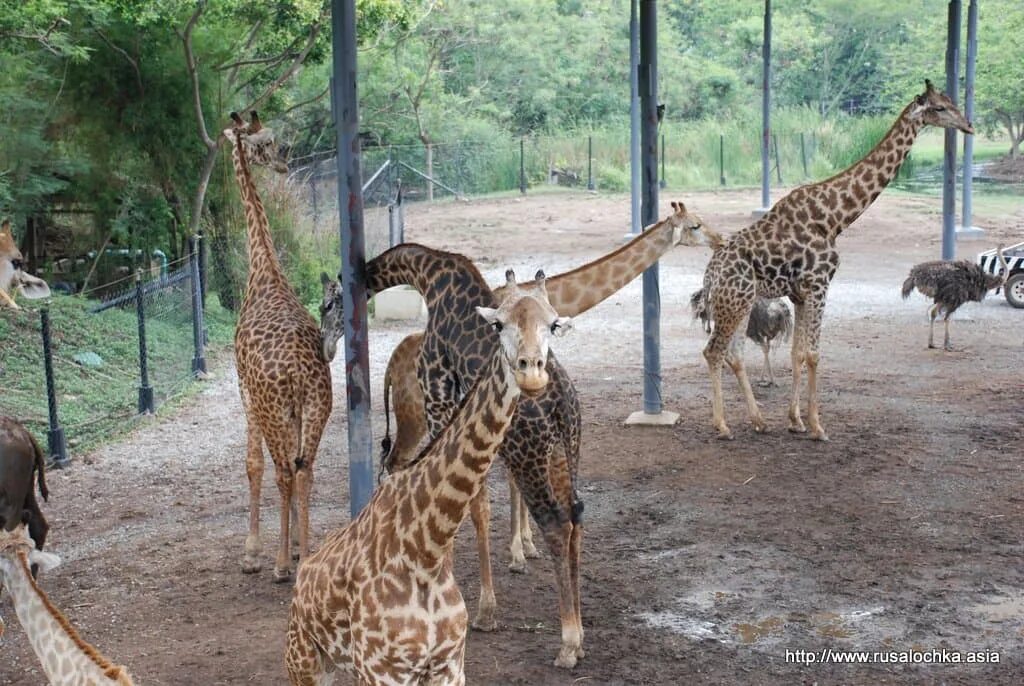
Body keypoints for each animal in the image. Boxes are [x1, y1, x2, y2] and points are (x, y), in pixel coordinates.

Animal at [286, 272, 577, 683]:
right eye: (498, 324)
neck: (426, 549)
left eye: (552, 324)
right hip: (304, 660)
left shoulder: (449, 665)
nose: (532, 371)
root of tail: (302, 581)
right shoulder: (381, 670)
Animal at [700, 80, 970, 444]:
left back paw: (758, 420)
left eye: (951, 101)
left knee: (734, 353)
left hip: (738, 303)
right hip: (734, 302)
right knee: (713, 351)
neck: (835, 217)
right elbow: (814, 354)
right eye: (940, 107)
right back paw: (722, 425)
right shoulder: (819, 285)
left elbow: (797, 354)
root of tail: (709, 277)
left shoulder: (799, 294)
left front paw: (795, 421)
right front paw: (817, 427)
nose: (968, 125)